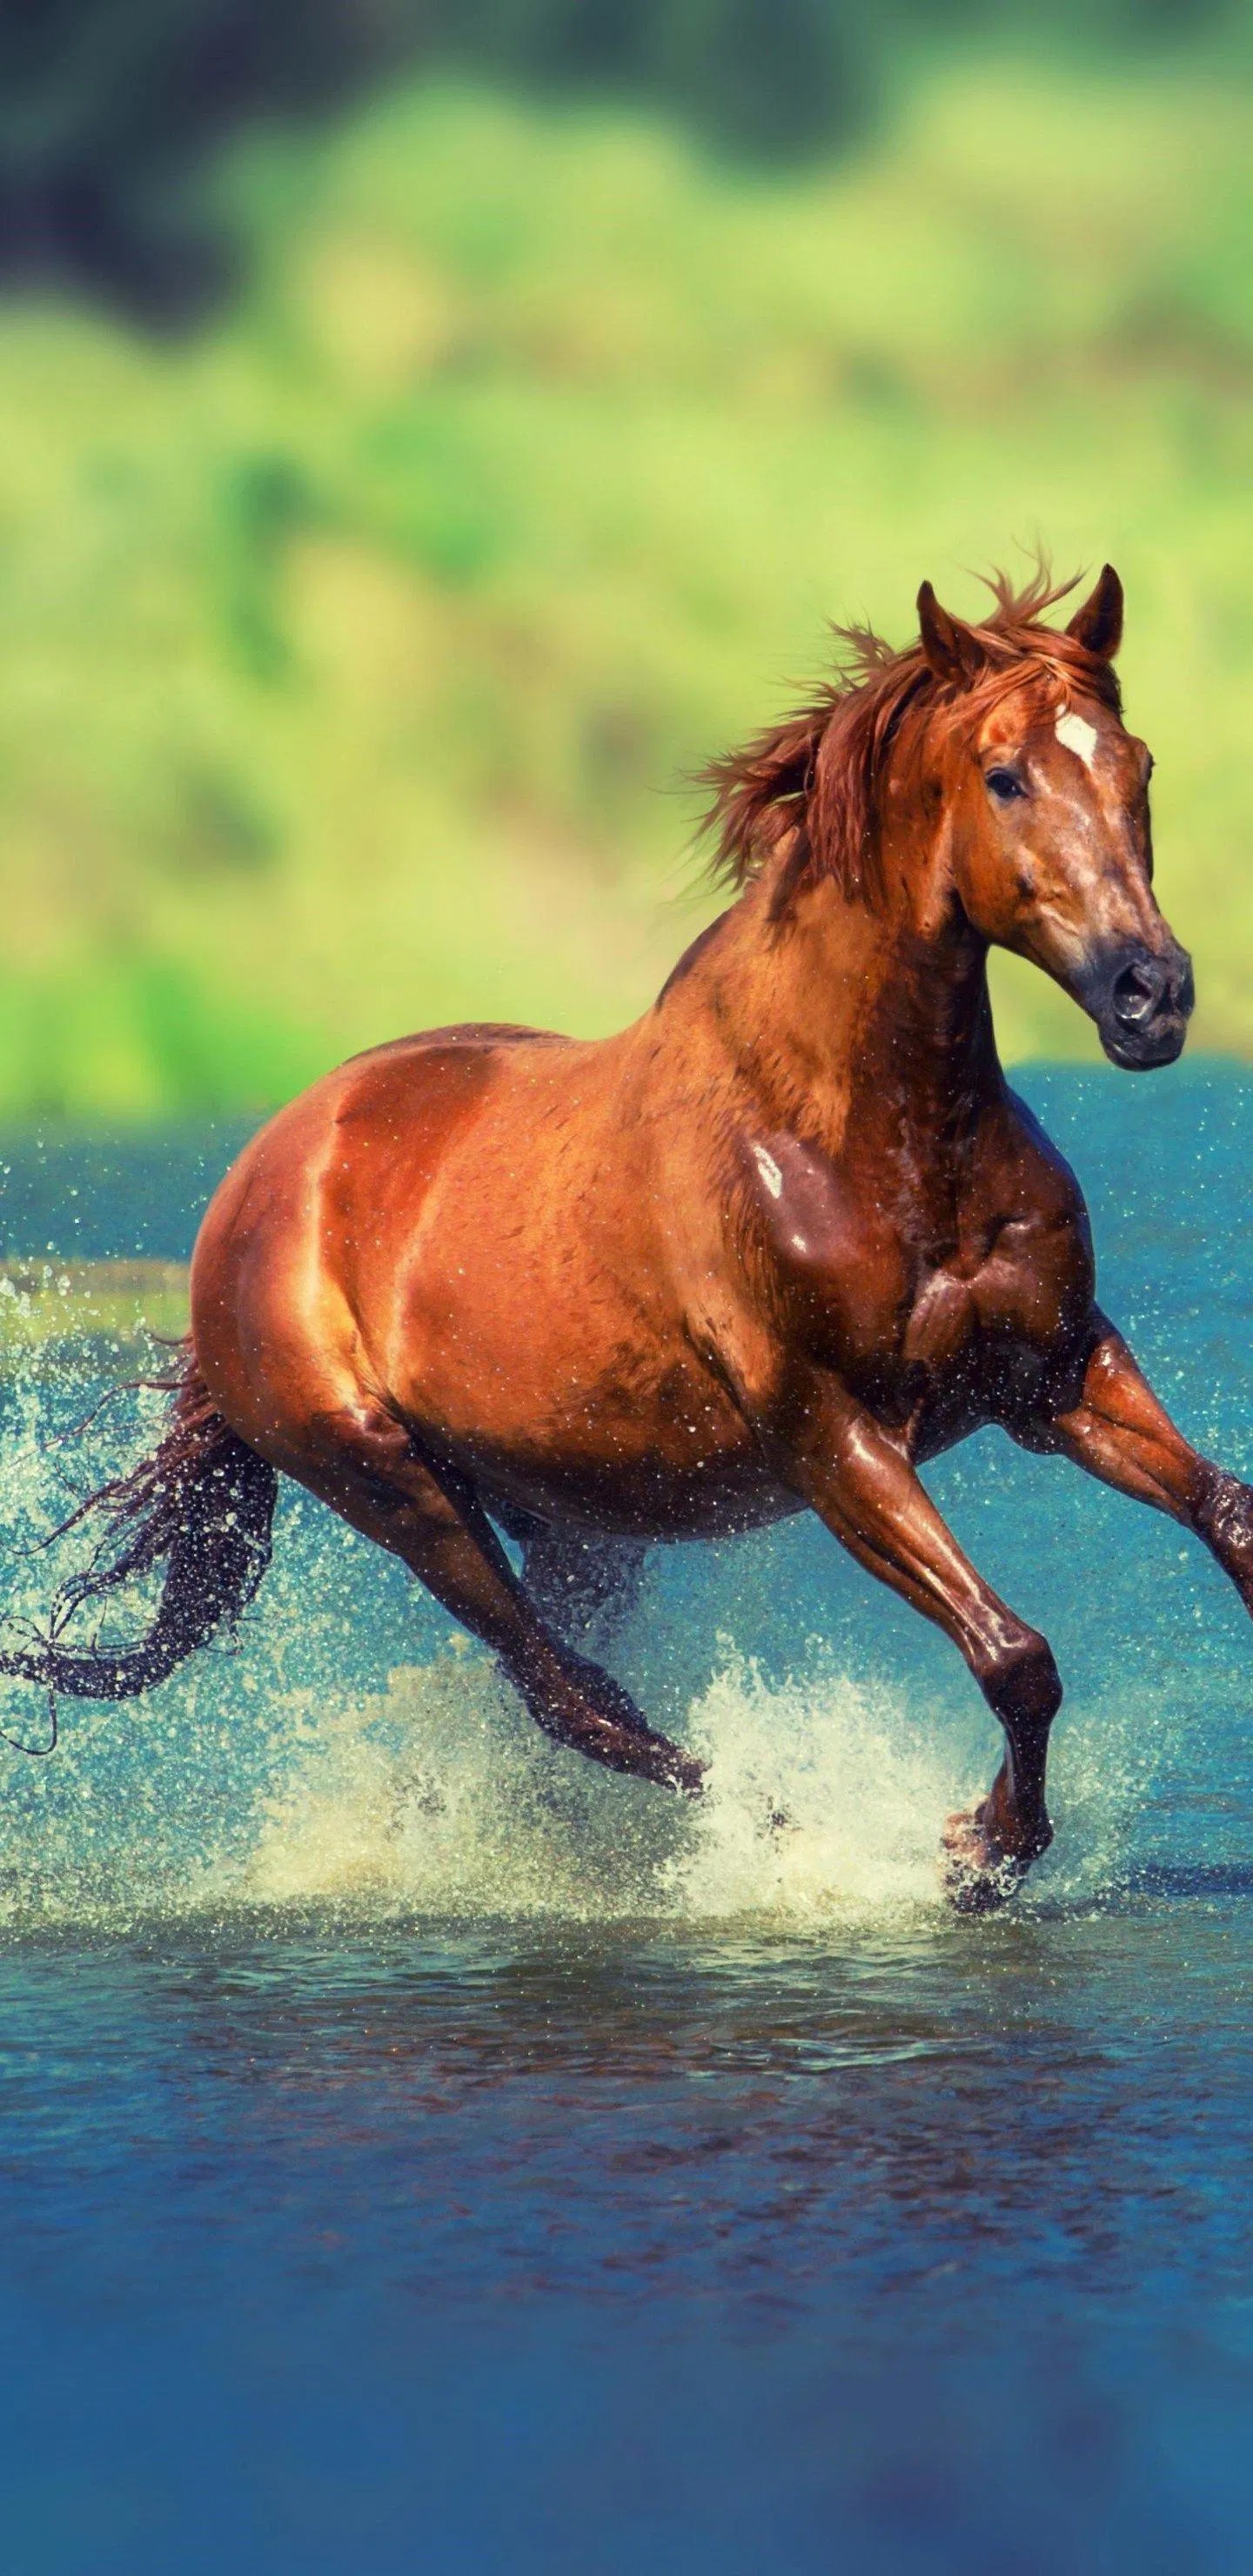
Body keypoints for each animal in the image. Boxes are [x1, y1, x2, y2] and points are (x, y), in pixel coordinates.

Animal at [4, 559, 1246, 1909]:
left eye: (1136, 763)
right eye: (1006, 773)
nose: (1152, 995)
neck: (867, 1130)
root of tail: (259, 1181)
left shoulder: (1056, 1371)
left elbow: (1227, 1517)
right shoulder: (831, 1432)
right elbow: (1014, 1651)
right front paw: (978, 1850)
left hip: (574, 1514)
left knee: (558, 1689)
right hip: (387, 1478)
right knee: (566, 1693)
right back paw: (774, 1824)